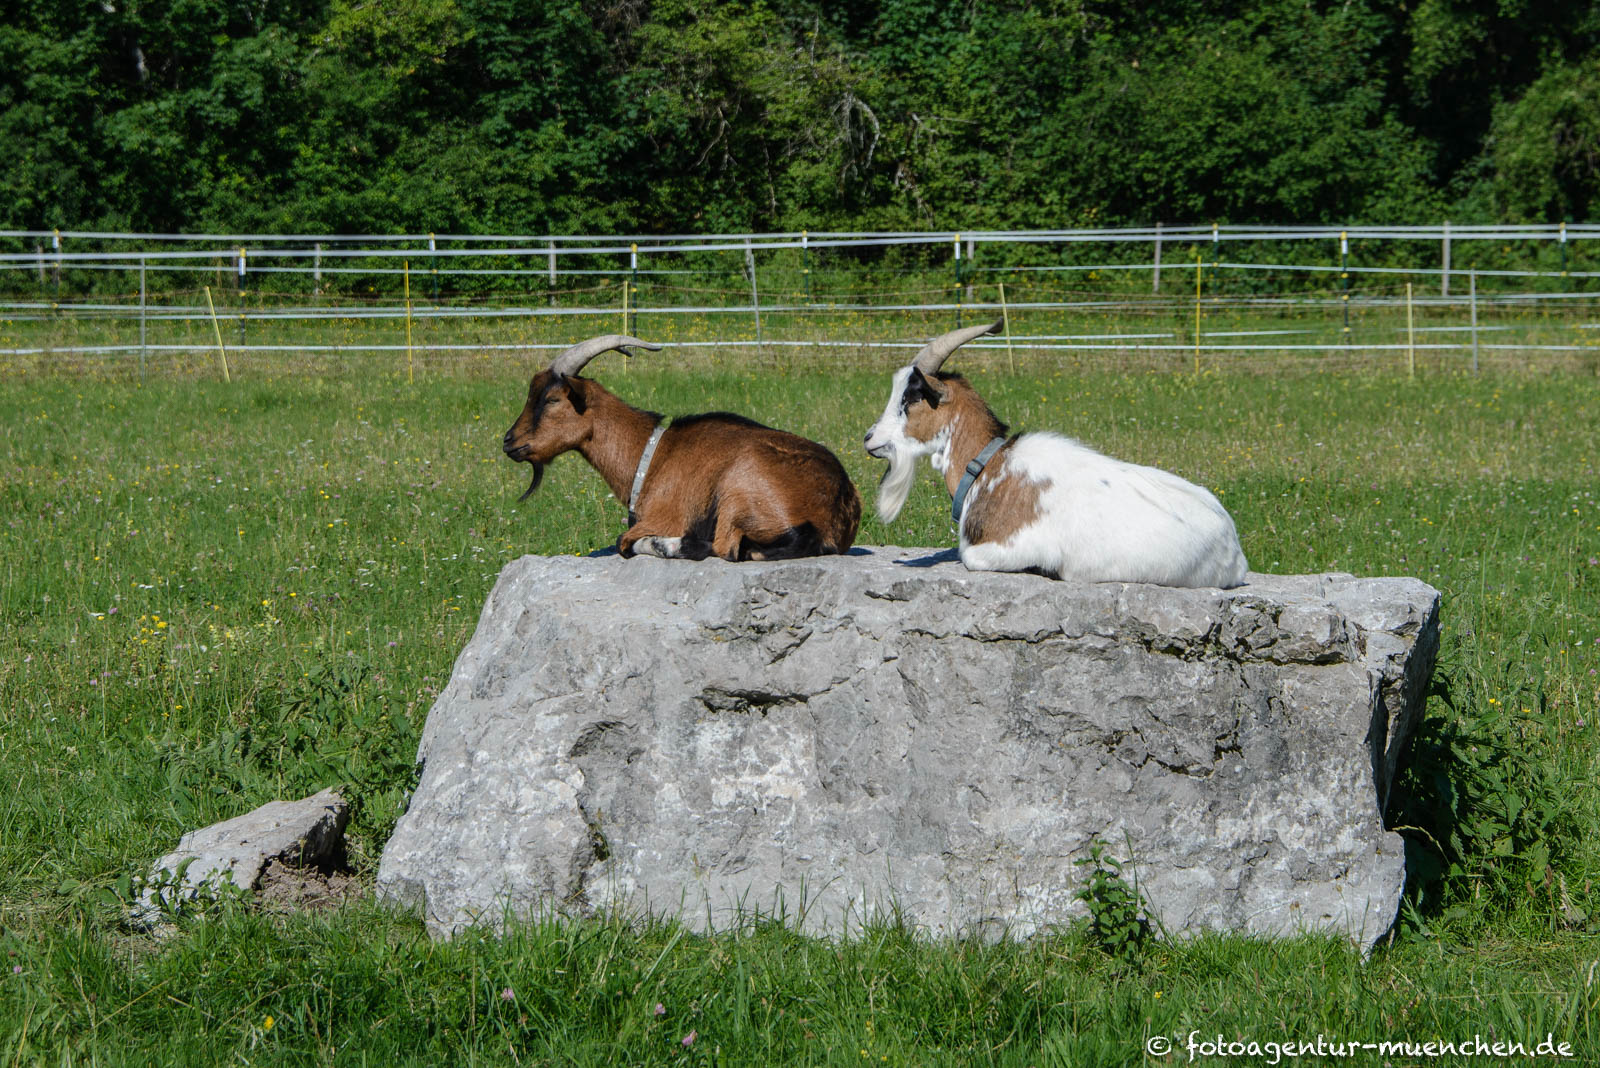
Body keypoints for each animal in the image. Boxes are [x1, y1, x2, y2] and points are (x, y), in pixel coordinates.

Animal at [503, 334, 861, 561]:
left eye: (552, 399)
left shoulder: (663, 516)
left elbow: (622, 541)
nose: (509, 441)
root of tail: (833, 509)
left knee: (724, 549)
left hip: (737, 491)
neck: (649, 456)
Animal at [863, 321, 1248, 587]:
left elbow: (971, 557)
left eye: (911, 397)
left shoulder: (1005, 547)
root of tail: (1234, 548)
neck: (987, 466)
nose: (869, 438)